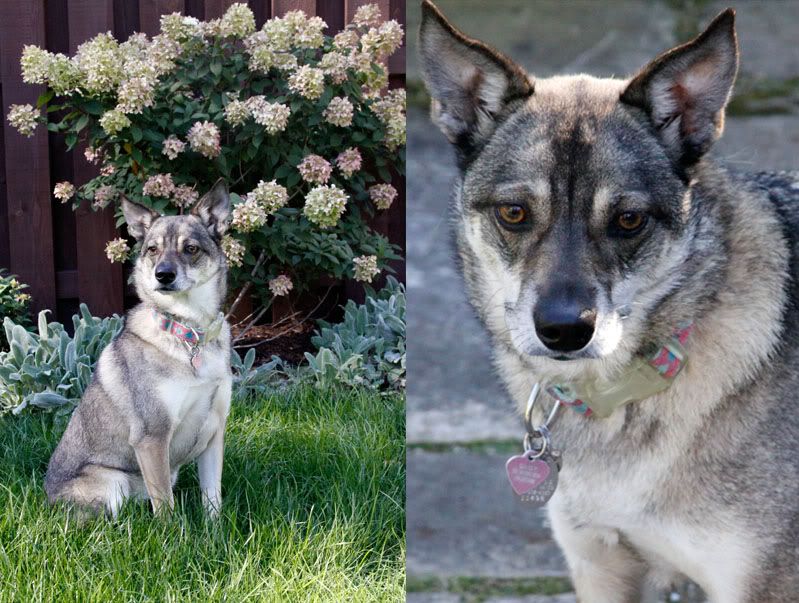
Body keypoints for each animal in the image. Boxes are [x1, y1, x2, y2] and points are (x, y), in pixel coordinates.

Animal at [45, 180, 231, 520]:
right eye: (153, 249)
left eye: (191, 248)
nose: (163, 275)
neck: (189, 333)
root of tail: (47, 499)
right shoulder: (152, 436)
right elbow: (166, 506)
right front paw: (175, 534)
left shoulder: (214, 432)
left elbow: (213, 496)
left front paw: (215, 529)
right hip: (113, 484)